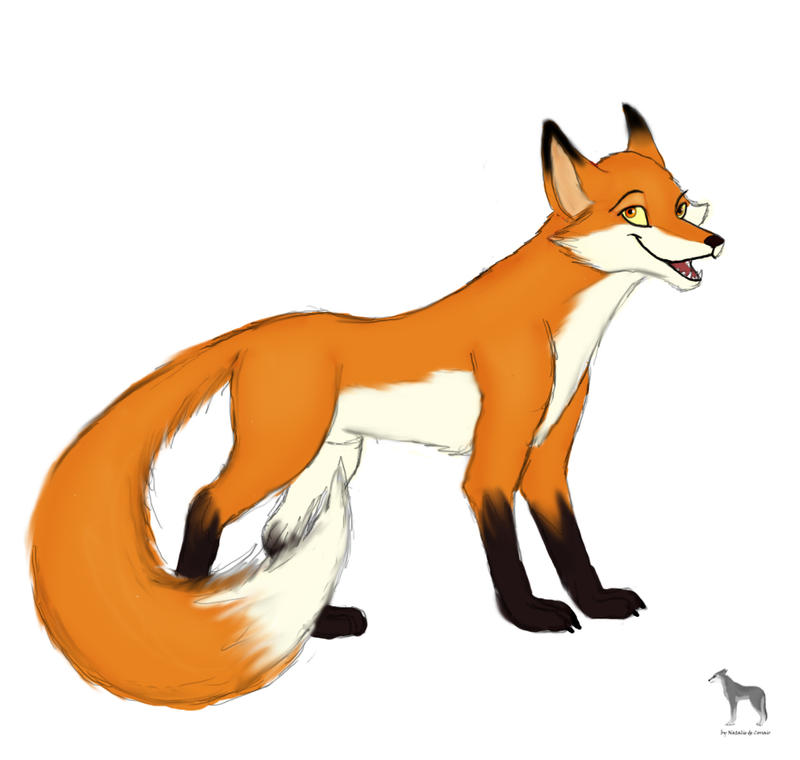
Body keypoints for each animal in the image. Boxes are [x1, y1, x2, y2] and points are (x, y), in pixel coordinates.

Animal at [28, 104, 724, 710]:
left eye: (682, 205)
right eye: (636, 212)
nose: (715, 240)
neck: (564, 329)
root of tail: (258, 331)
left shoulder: (547, 461)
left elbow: (571, 547)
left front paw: (596, 602)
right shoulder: (492, 463)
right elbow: (510, 553)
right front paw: (528, 616)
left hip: (330, 461)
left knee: (278, 536)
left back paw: (317, 622)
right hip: (281, 451)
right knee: (207, 503)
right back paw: (201, 618)